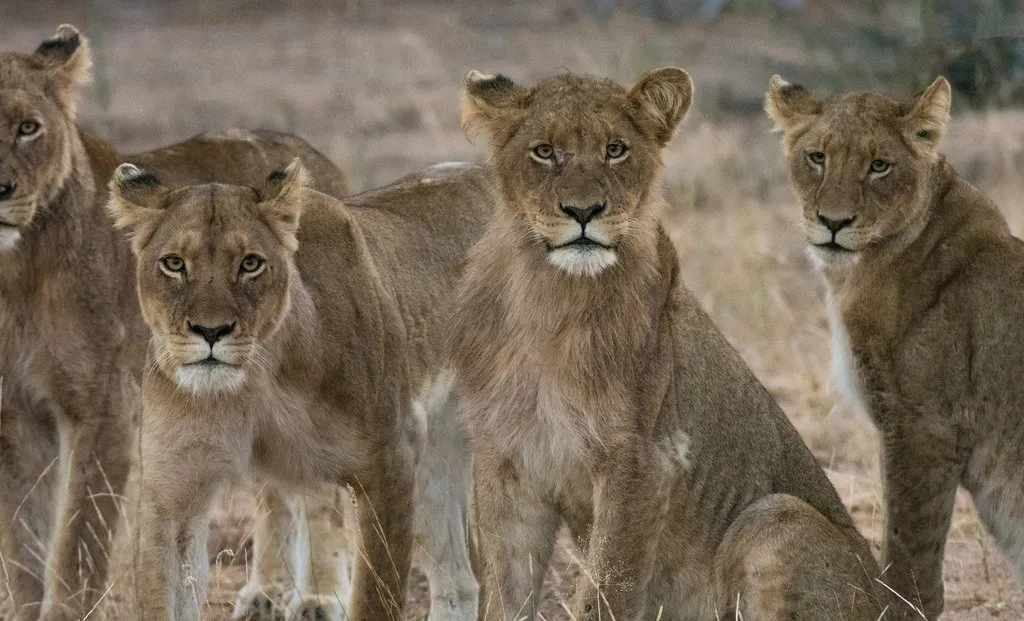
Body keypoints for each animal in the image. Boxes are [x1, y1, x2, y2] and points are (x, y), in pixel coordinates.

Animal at [0, 24, 348, 621]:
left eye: (28, 128)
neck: (17, 270)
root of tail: (314, 157)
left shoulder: (106, 405)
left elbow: (78, 539)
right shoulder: (15, 415)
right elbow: (23, 545)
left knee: (323, 494)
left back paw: (321, 597)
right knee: (275, 489)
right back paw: (266, 593)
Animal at [105, 157, 493, 618]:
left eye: (250, 263)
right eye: (174, 263)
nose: (210, 331)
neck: (254, 380)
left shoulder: (391, 461)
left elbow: (374, 597)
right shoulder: (171, 496)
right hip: (436, 459)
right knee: (458, 580)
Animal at [452, 68, 892, 621]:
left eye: (615, 150)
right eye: (545, 151)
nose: (583, 211)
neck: (549, 299)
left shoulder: (643, 462)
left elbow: (606, 590)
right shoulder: (507, 464)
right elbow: (503, 592)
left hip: (774, 515)